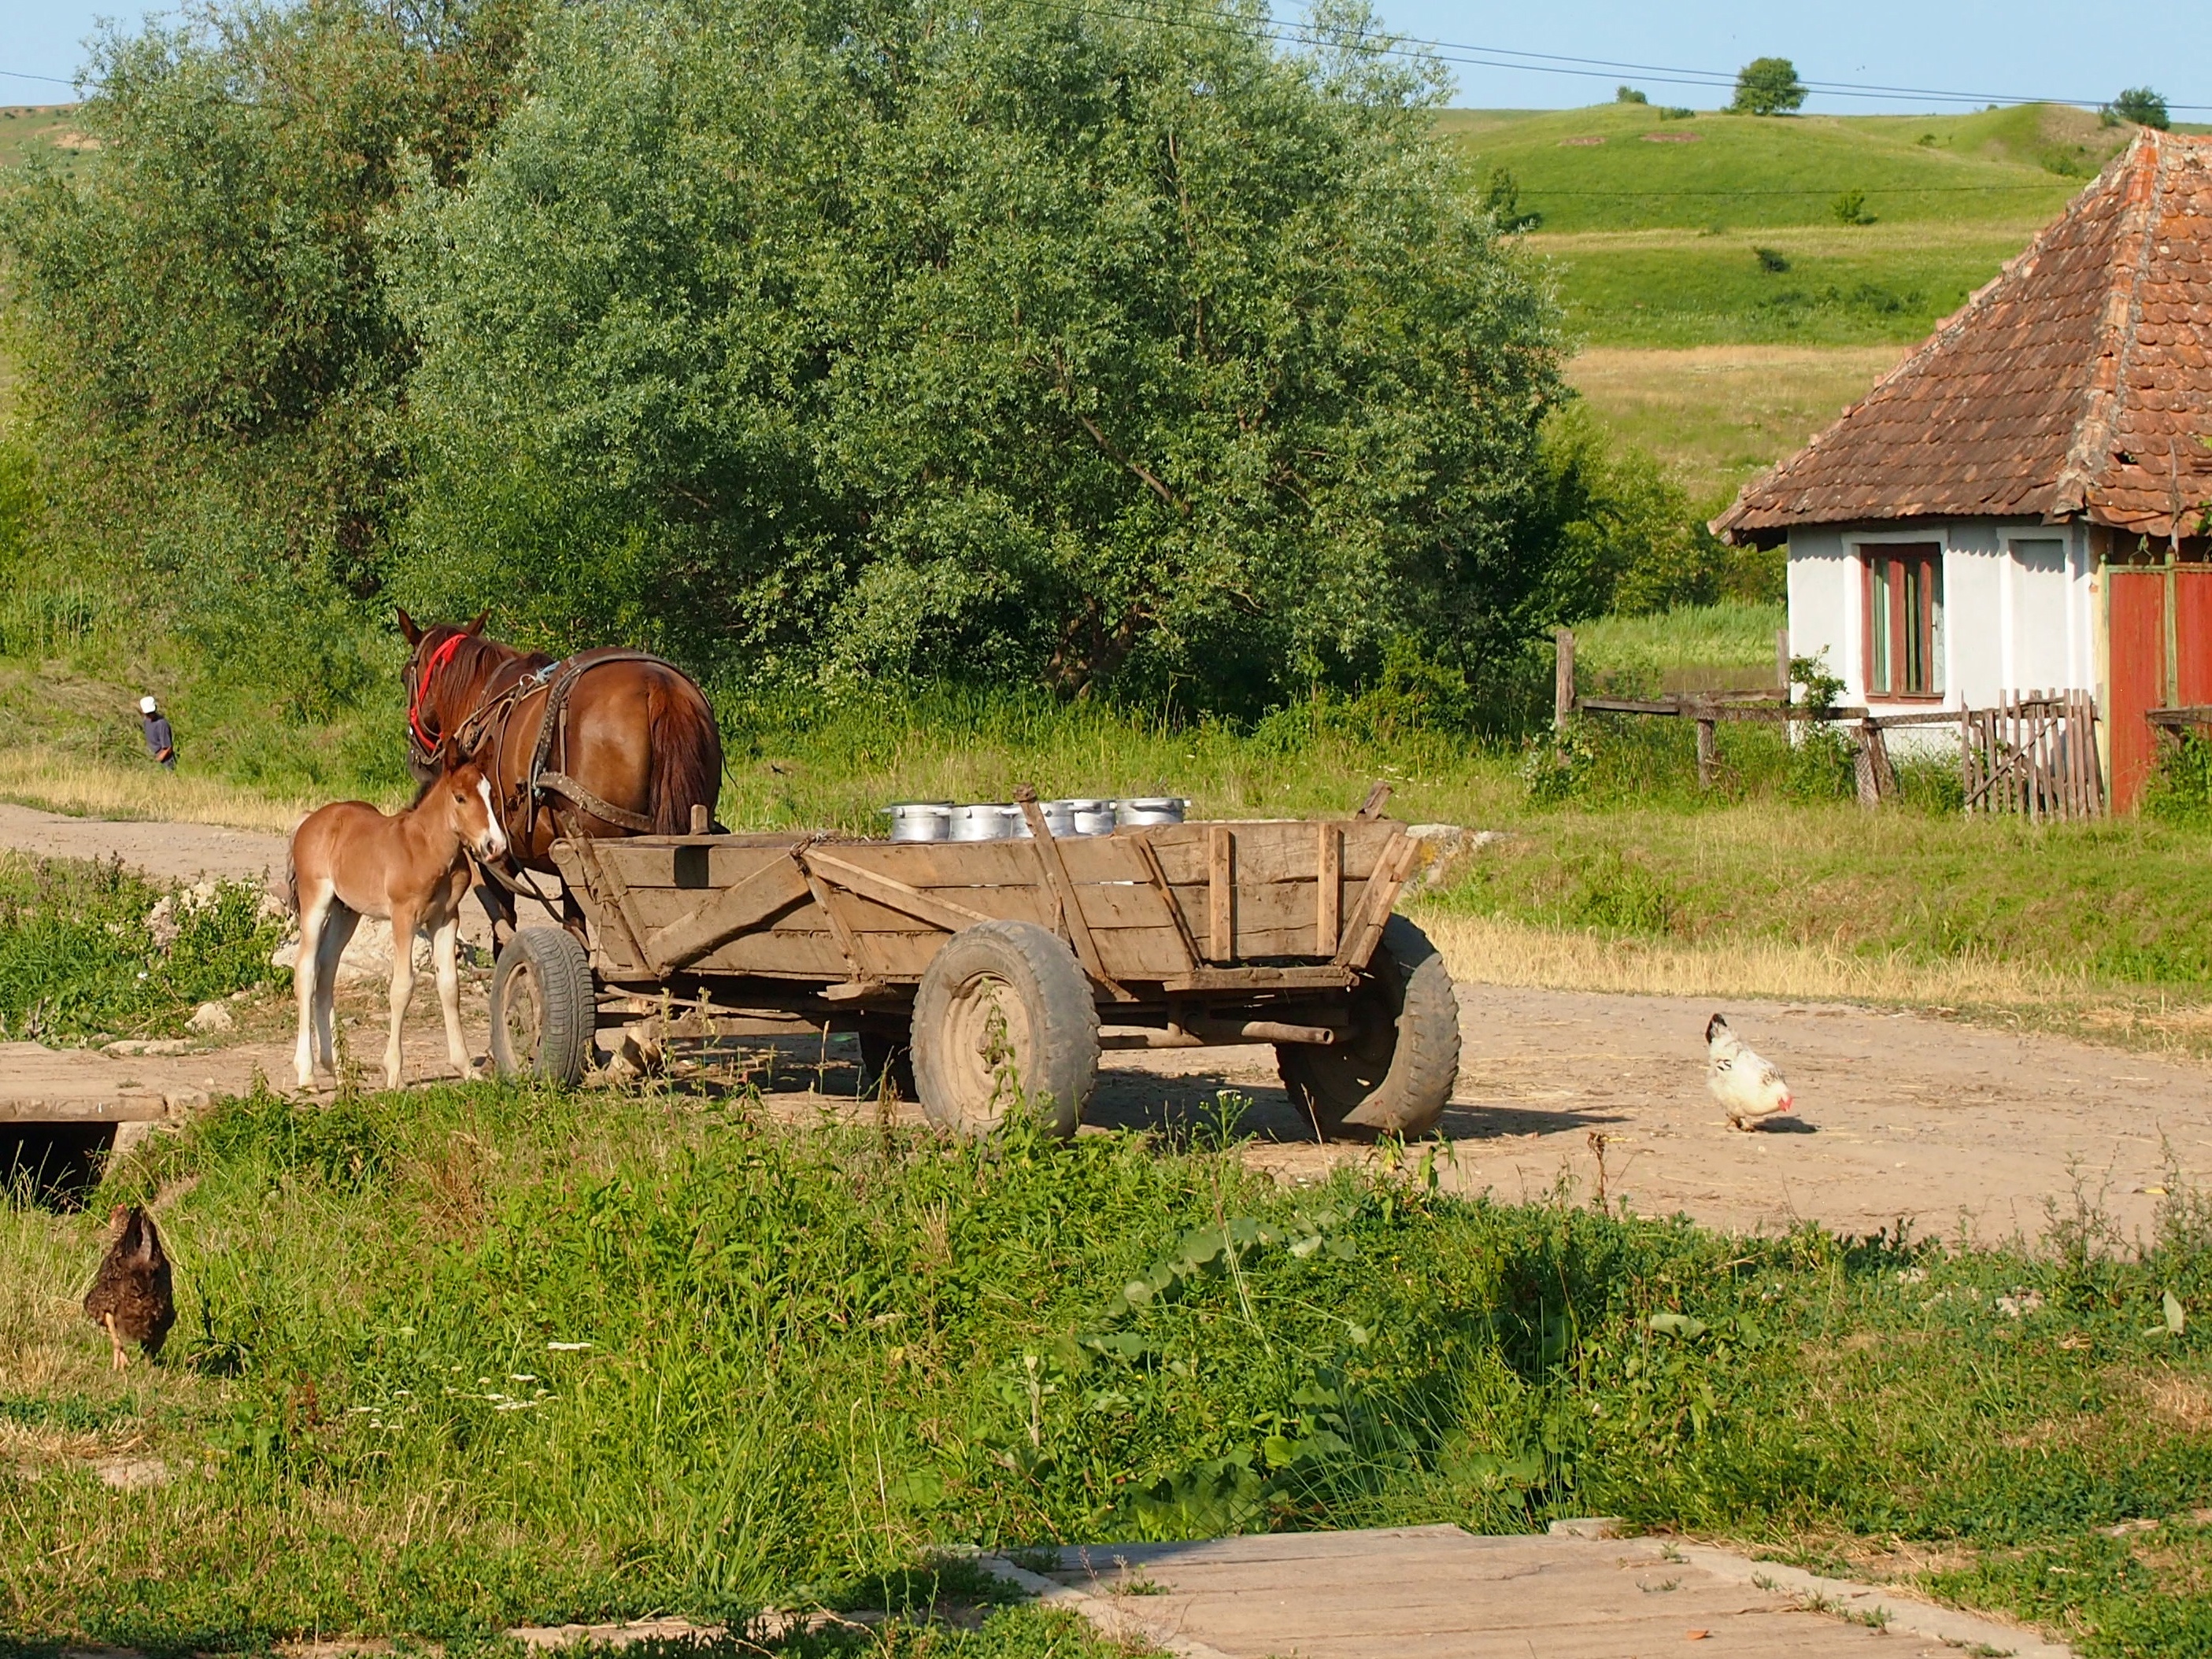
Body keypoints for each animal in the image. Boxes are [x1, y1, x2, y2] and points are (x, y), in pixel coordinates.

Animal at [285, 752, 506, 1092]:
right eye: (460, 797)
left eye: (490, 795)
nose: (495, 846)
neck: (427, 848)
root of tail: (310, 820)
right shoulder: (404, 916)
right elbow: (402, 987)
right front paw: (395, 1074)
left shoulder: (446, 918)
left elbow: (450, 987)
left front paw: (467, 1069)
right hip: (315, 902)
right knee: (306, 969)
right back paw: (307, 1074)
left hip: (346, 911)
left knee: (327, 969)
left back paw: (337, 1068)